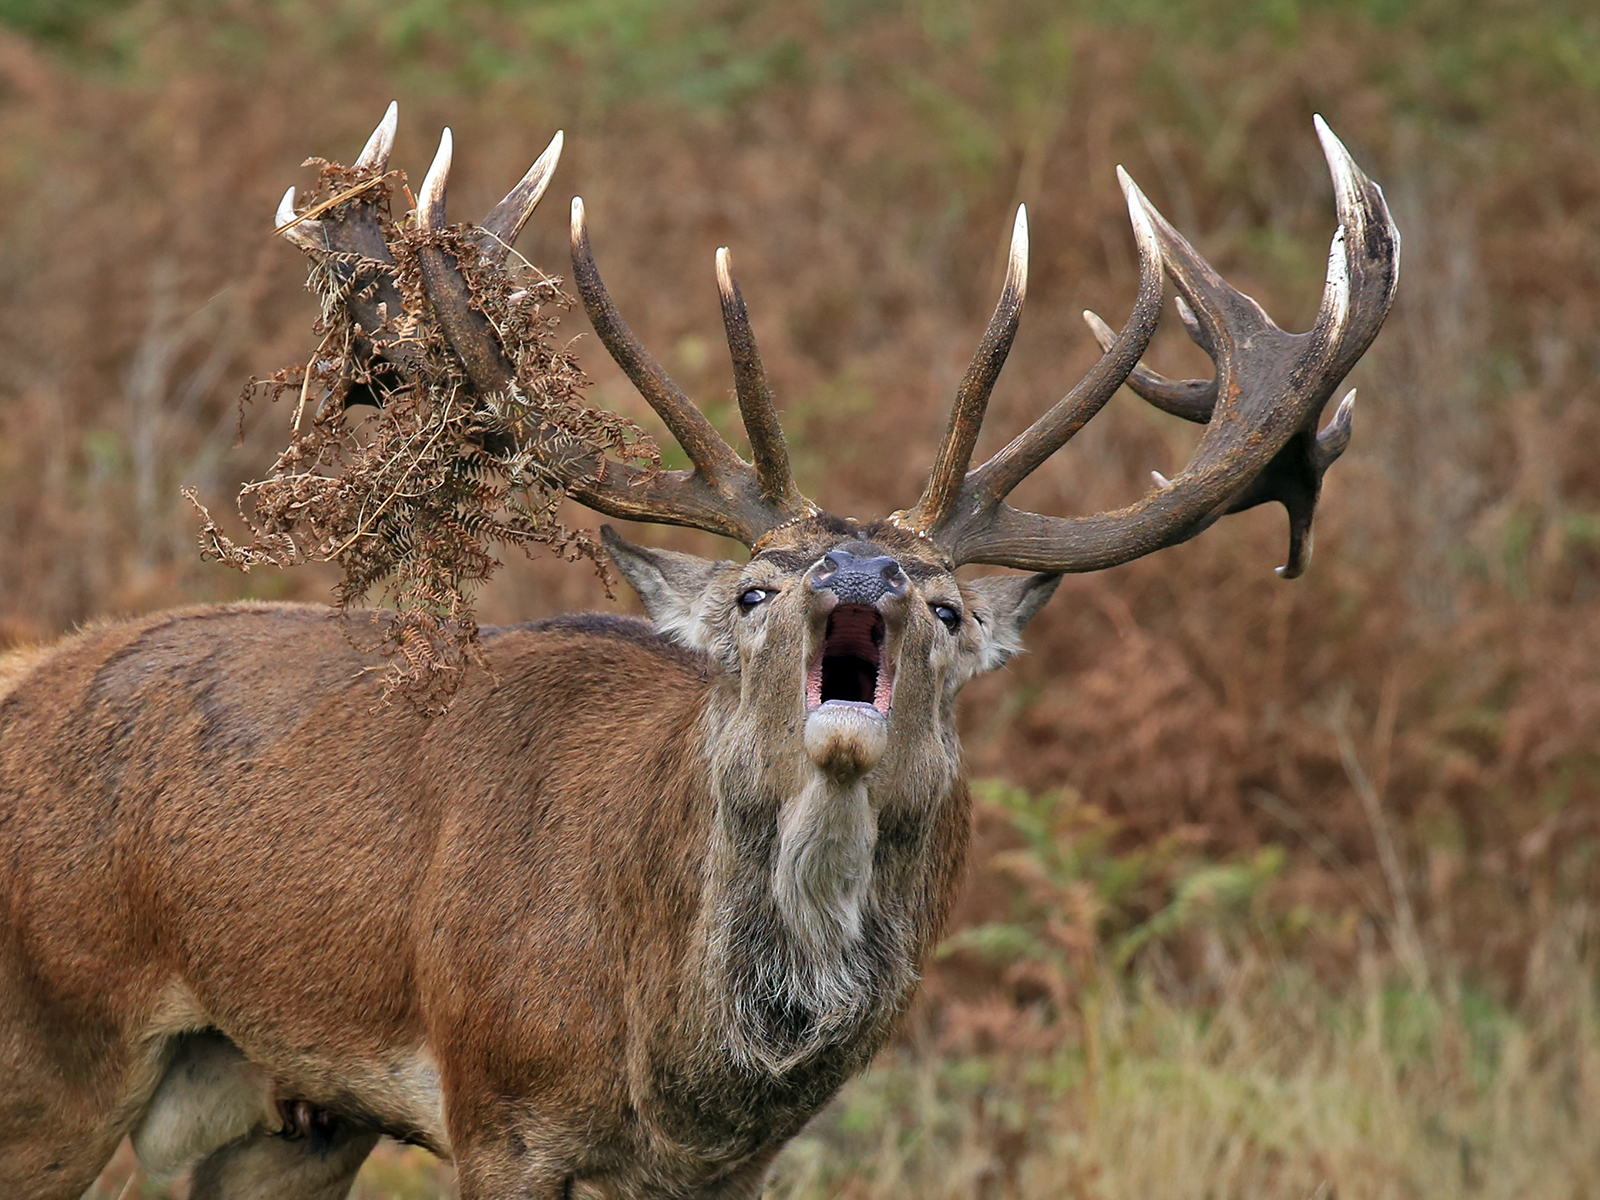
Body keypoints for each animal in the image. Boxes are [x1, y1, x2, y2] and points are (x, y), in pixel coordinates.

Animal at [0, 103, 1397, 1200]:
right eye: (754, 590)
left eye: (949, 608)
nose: (861, 577)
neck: (681, 1060)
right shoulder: (495, 1106)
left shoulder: (735, 1168)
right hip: (50, 1053)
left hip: (281, 1116)